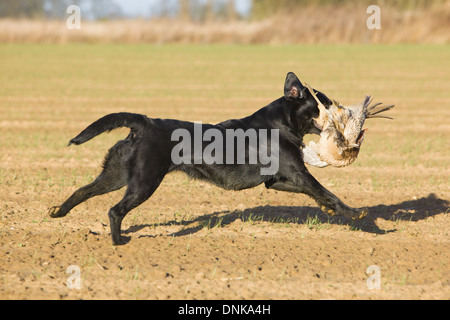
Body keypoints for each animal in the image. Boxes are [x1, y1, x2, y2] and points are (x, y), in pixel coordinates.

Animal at [49, 72, 368, 244]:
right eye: (321, 102)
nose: (340, 108)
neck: (281, 123)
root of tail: (144, 123)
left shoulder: (277, 180)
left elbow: (318, 195)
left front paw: (329, 211)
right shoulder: (298, 173)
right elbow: (326, 191)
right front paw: (355, 214)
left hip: (115, 174)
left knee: (82, 191)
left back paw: (57, 212)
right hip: (143, 182)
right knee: (115, 210)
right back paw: (118, 241)